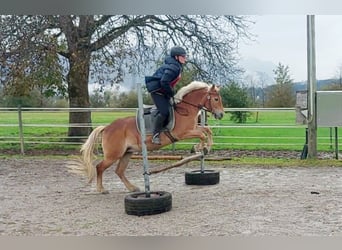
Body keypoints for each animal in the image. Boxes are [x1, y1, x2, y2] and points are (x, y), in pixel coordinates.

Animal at [68, 80, 226, 193]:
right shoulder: (183, 133)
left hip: (127, 153)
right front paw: (198, 148)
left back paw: (132, 188)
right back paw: (101, 189)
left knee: (119, 171)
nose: (221, 115)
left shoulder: (193, 128)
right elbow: (202, 134)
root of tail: (107, 127)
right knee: (100, 167)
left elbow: (207, 130)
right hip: (114, 154)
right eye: (216, 99)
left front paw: (204, 148)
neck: (185, 109)